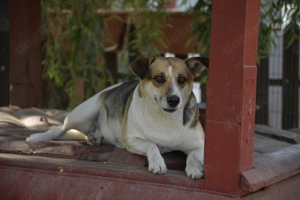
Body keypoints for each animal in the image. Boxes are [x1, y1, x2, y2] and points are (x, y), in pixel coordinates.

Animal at [26, 56, 206, 180]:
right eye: (159, 78)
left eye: (182, 79)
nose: (174, 100)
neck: (166, 117)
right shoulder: (132, 140)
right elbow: (152, 145)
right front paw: (158, 163)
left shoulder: (201, 145)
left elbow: (192, 155)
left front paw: (194, 168)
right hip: (82, 112)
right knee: (60, 128)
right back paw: (37, 137)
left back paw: (94, 137)